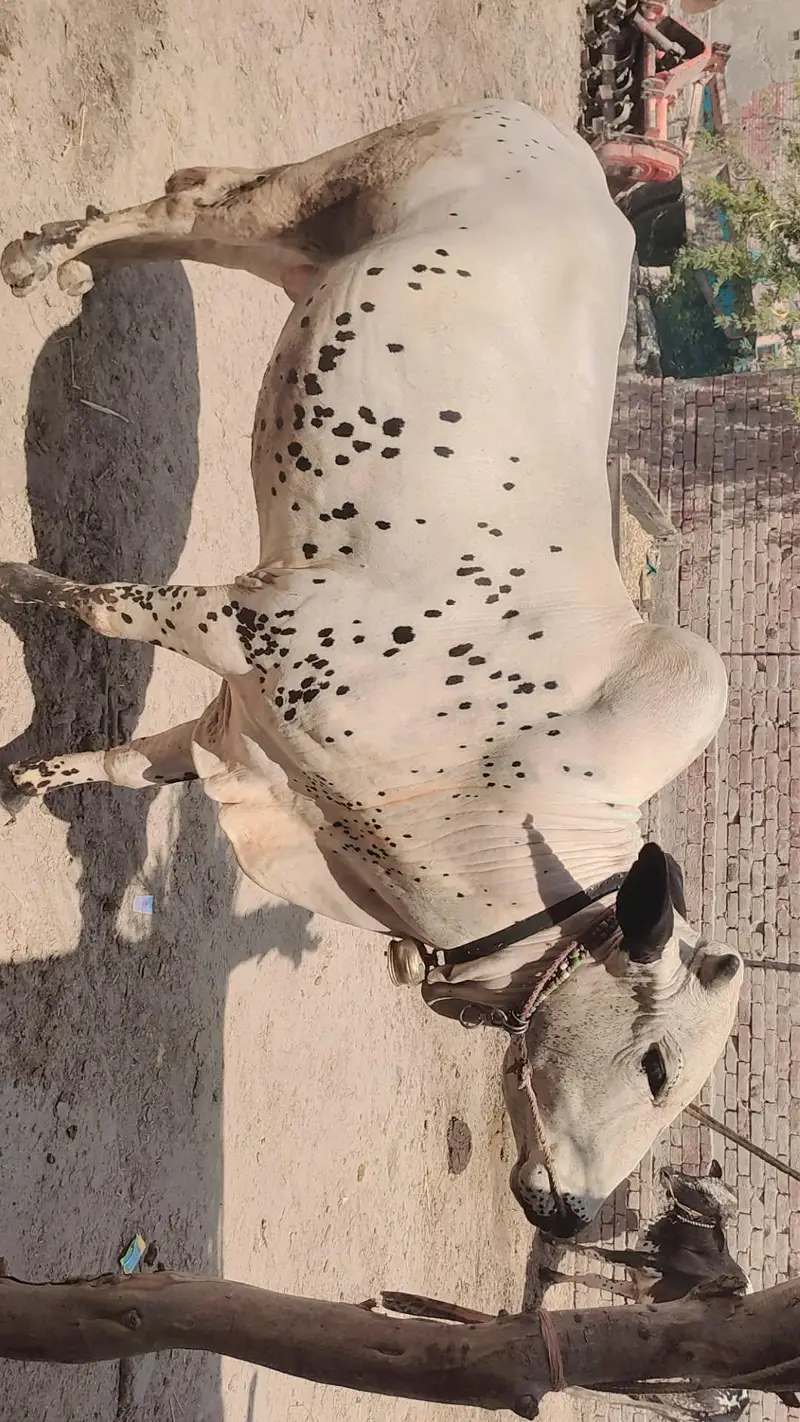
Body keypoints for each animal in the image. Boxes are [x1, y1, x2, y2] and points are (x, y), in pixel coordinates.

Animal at [0, 99, 743, 1236]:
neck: (481, 792)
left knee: (185, 210)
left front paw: (16, 785)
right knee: (182, 205)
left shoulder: (236, 734)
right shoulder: (240, 622)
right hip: (316, 193)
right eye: (658, 1067)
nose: (575, 1215)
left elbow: (116, 763)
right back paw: (40, 257)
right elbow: (97, 603)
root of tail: (562, 145)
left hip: (304, 250)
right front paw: (9, 581)